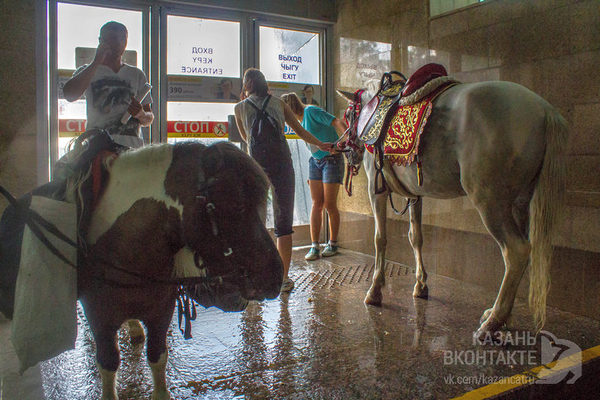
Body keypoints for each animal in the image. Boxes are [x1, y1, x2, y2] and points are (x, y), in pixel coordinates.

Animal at [74, 142, 282, 398]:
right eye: (238, 205)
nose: (275, 278)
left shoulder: (161, 311)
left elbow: (157, 355)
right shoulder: (100, 319)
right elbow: (108, 362)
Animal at [338, 76, 568, 338]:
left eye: (349, 114)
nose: (345, 149)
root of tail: (545, 110)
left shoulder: (376, 190)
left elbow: (380, 239)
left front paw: (375, 290)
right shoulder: (415, 195)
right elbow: (415, 237)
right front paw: (421, 284)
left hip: (490, 202)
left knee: (516, 251)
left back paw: (493, 321)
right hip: (521, 203)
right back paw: (501, 315)